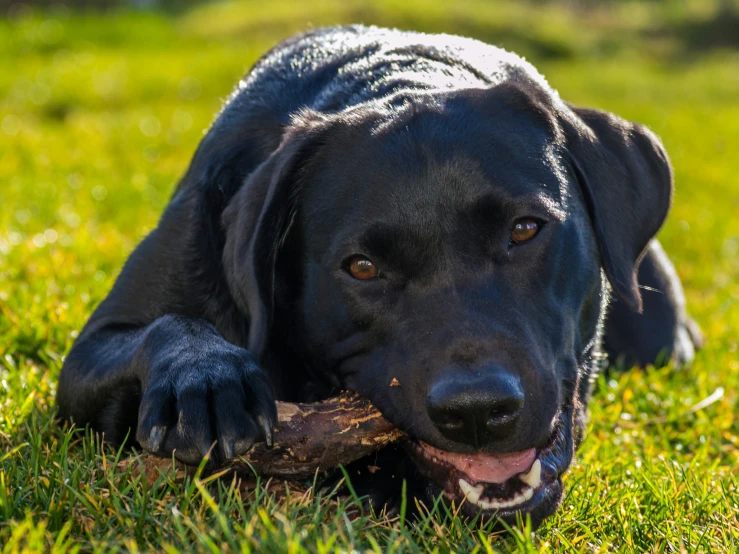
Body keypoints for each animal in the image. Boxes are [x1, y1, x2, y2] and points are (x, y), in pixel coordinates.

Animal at [56, 25, 700, 528]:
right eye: (362, 268)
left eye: (524, 229)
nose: (476, 411)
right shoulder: (92, 349)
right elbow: (167, 325)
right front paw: (206, 377)